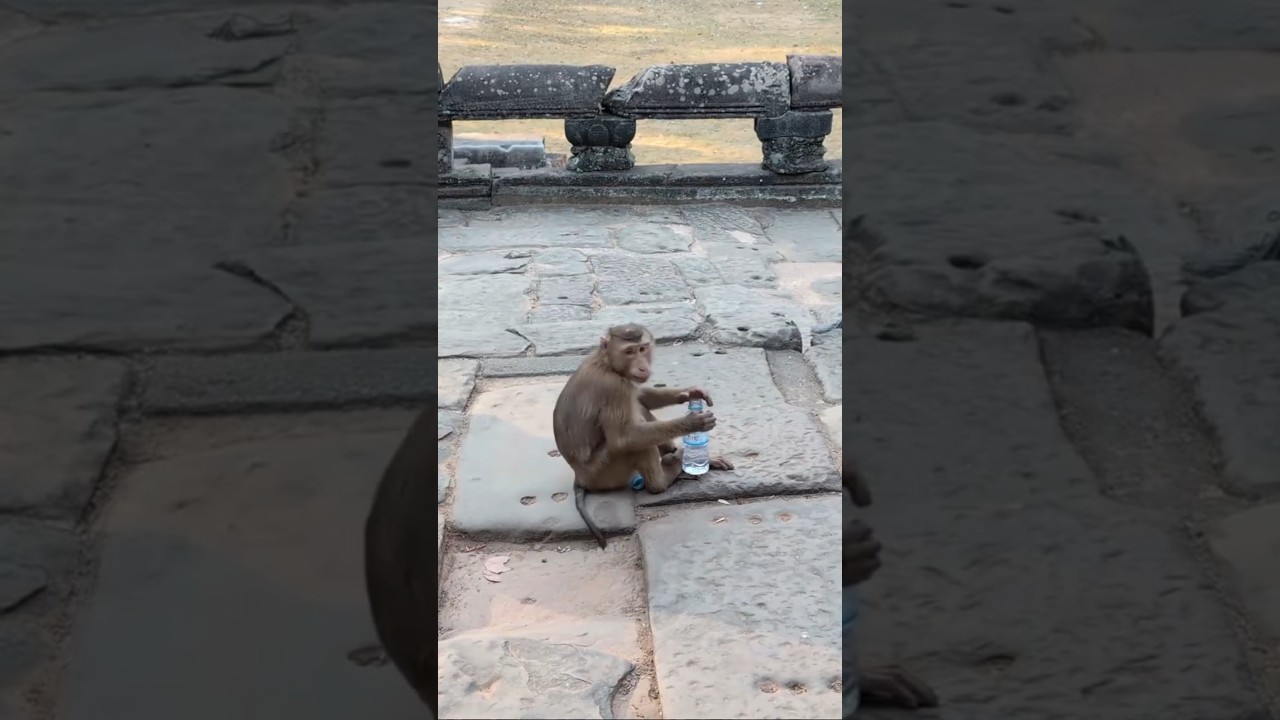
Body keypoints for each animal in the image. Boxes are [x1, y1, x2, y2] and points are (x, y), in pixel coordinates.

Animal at [552, 323, 734, 548]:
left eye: (642, 349)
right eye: (629, 351)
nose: (642, 367)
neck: (607, 364)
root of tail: (580, 477)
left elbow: (639, 395)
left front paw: (691, 393)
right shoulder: (615, 388)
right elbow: (623, 440)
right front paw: (694, 423)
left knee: (639, 407)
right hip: (605, 474)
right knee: (636, 445)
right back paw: (664, 478)